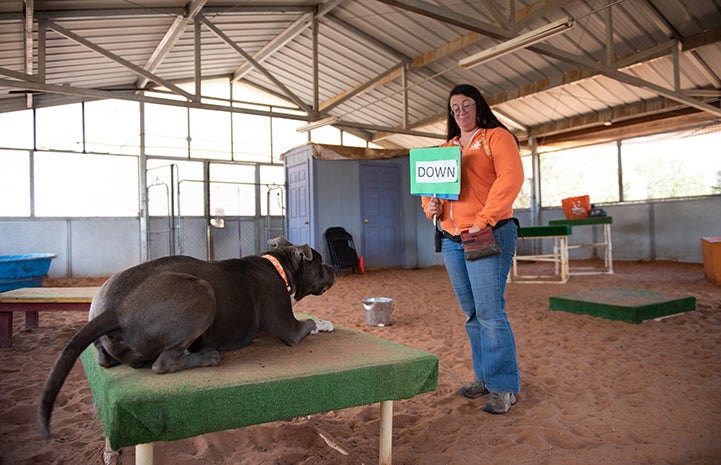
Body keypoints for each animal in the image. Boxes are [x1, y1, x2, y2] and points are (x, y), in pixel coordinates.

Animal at [36, 237, 334, 436]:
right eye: (320, 263)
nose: (333, 268)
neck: (281, 267)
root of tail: (113, 310)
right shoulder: (290, 329)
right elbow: (309, 322)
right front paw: (326, 322)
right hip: (203, 292)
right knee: (163, 363)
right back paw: (206, 356)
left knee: (106, 360)